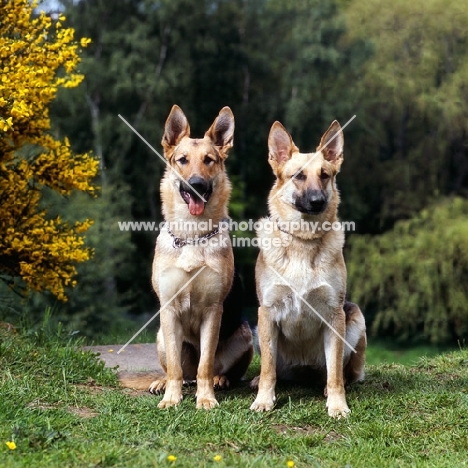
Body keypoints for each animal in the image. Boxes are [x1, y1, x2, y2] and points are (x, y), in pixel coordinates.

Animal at [119, 104, 254, 408]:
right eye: (182, 160)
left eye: (209, 160)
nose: (196, 185)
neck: (193, 236)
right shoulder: (168, 311)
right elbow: (175, 368)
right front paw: (172, 398)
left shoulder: (213, 312)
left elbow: (205, 363)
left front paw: (205, 399)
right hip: (160, 335)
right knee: (180, 371)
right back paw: (163, 383)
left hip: (244, 335)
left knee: (212, 370)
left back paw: (219, 380)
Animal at [252, 119, 366, 416]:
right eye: (299, 176)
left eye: (324, 175)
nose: (317, 201)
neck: (302, 241)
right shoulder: (267, 312)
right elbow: (268, 369)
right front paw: (263, 400)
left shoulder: (334, 314)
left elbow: (335, 372)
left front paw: (337, 405)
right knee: (274, 369)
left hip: (354, 318)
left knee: (340, 372)